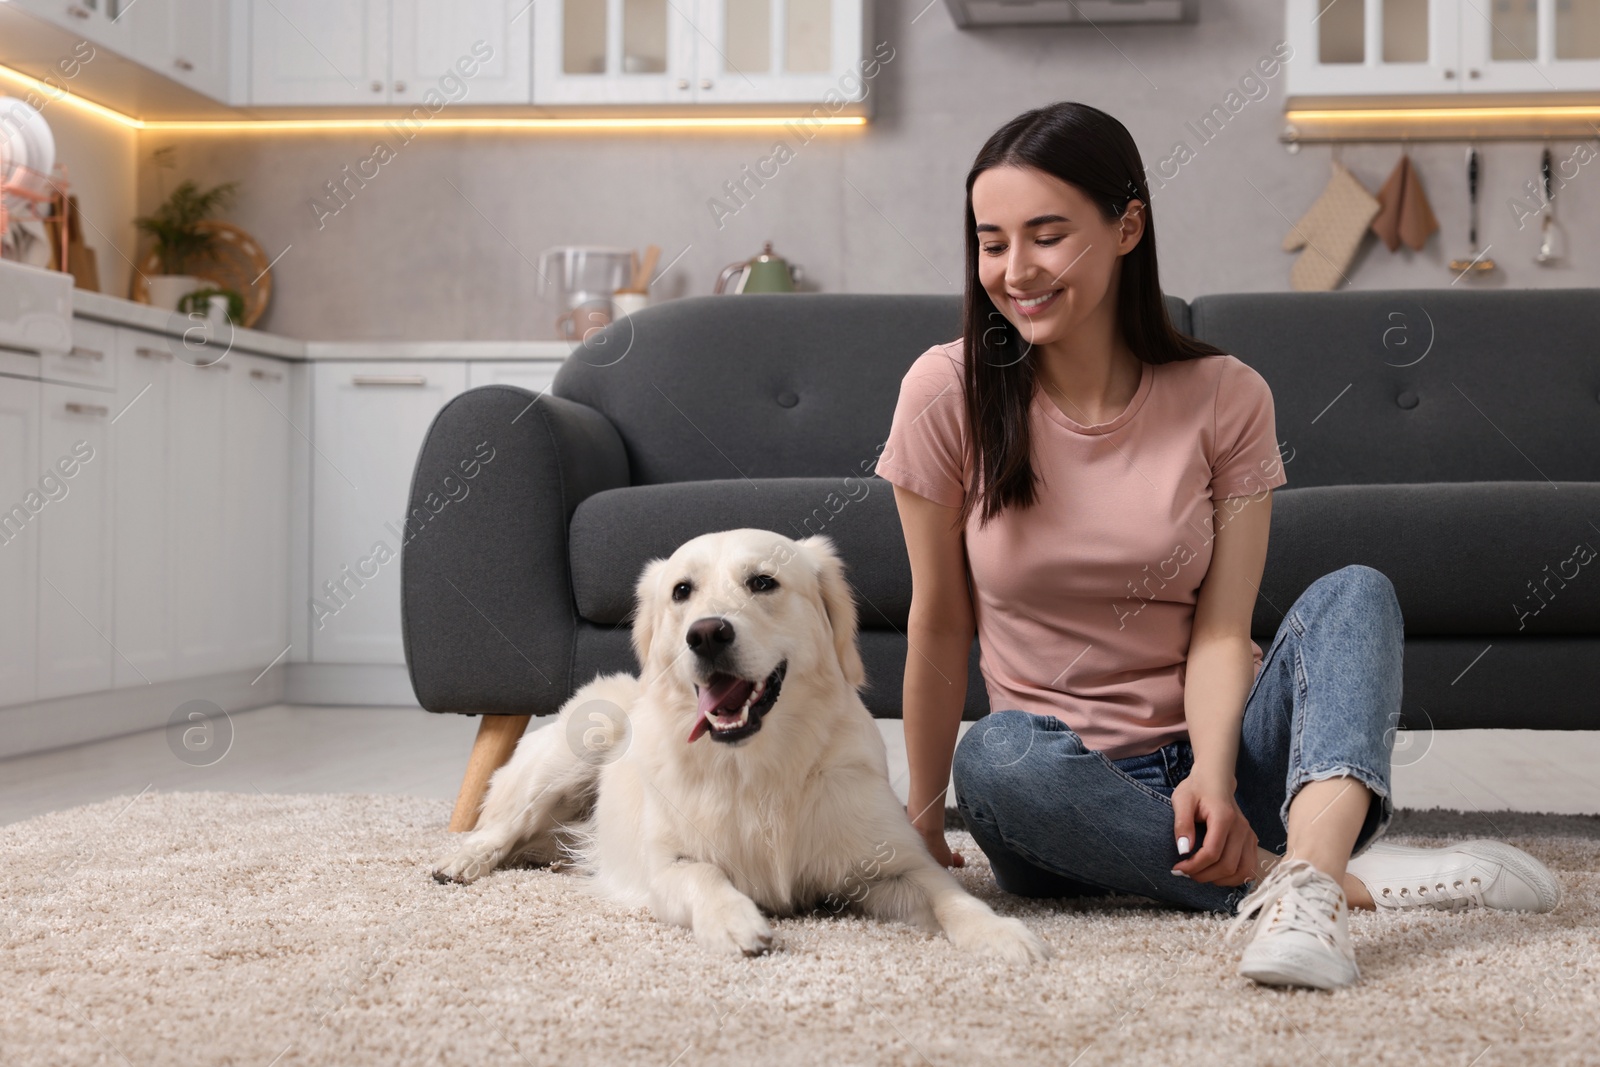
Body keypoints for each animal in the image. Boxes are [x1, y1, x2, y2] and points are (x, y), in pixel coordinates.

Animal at [432, 531, 1049, 966]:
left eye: (763, 583)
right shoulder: (667, 867)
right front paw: (735, 922)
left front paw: (1000, 933)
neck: (757, 765)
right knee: (501, 824)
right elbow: (704, 876)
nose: (706, 633)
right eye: (682, 591)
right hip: (579, 746)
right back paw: (461, 859)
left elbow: (950, 894)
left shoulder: (891, 866)